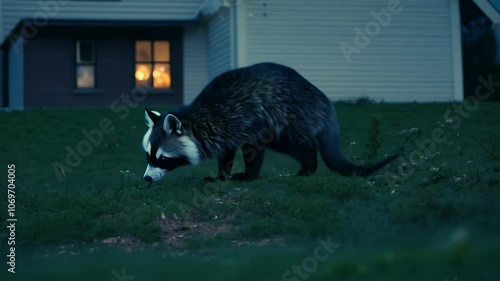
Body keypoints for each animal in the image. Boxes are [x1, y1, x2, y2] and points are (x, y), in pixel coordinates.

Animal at [143, 61, 400, 182]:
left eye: (163, 158)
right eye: (148, 155)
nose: (146, 177)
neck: (196, 118)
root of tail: (323, 100)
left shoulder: (247, 120)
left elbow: (253, 148)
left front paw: (249, 176)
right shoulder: (224, 132)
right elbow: (226, 153)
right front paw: (221, 175)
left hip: (290, 116)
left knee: (299, 144)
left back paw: (309, 164)